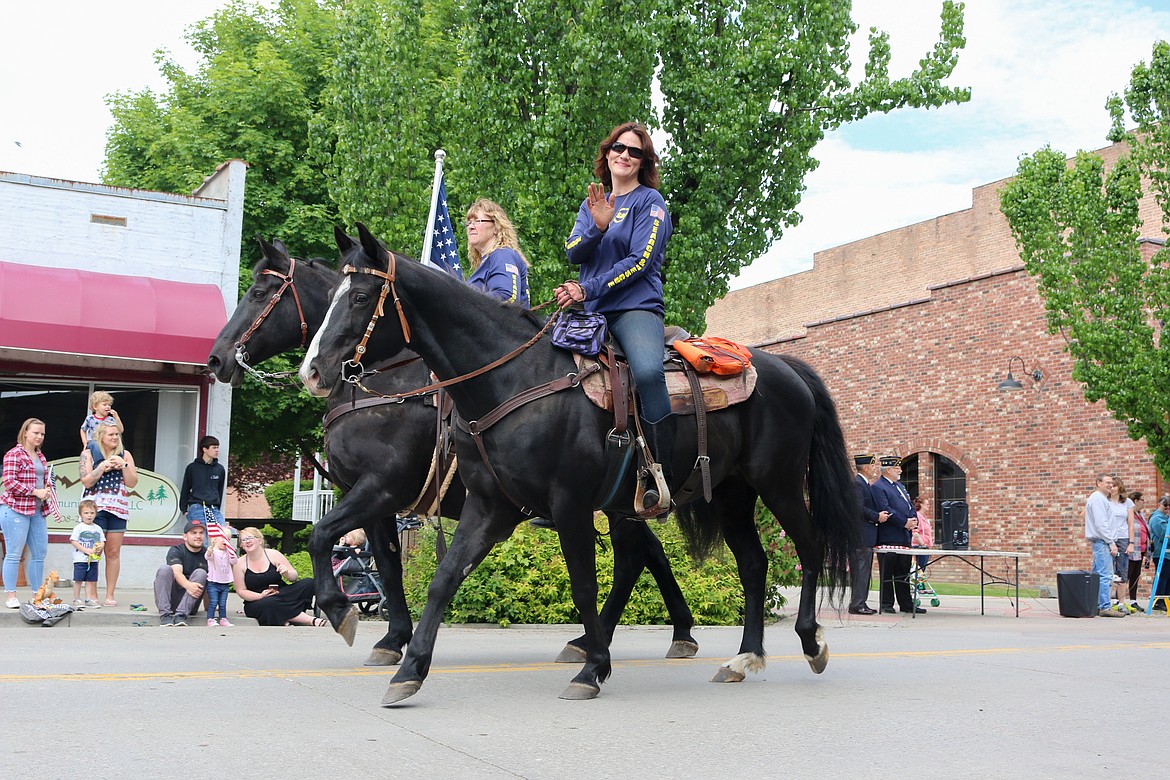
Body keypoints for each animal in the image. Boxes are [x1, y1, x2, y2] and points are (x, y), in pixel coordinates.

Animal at [205, 239, 697, 664]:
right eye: (330, 300)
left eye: (260, 292)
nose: (216, 359)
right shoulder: (379, 501)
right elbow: (387, 565)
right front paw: (393, 640)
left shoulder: (380, 487)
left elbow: (322, 535)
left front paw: (344, 614)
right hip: (618, 502)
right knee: (645, 554)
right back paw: (656, 634)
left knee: (636, 557)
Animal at [297, 222, 856, 706]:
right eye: (330, 297)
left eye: (361, 298)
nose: (313, 371)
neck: (513, 379)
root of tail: (787, 367)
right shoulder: (489, 506)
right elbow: (441, 579)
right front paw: (408, 669)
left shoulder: (563, 504)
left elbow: (583, 584)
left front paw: (593, 669)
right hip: (731, 494)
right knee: (752, 564)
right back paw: (744, 658)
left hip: (777, 483)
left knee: (807, 546)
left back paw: (810, 642)